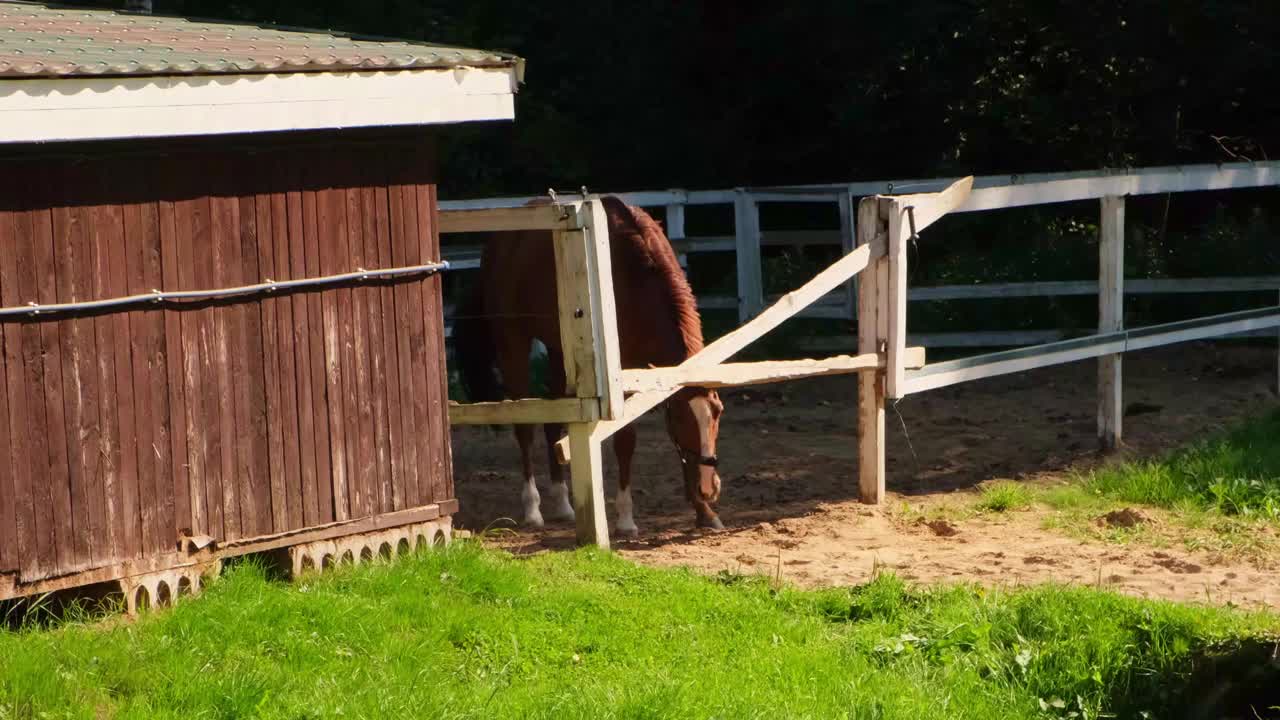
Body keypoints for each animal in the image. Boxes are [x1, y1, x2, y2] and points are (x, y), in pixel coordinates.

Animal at [455, 196, 727, 532]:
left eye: (717, 412)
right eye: (680, 419)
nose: (709, 487)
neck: (632, 276)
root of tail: (496, 244)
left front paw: (705, 512)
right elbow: (625, 439)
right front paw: (625, 518)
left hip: (559, 352)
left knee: (552, 424)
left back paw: (563, 504)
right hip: (513, 343)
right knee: (524, 428)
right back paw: (533, 509)